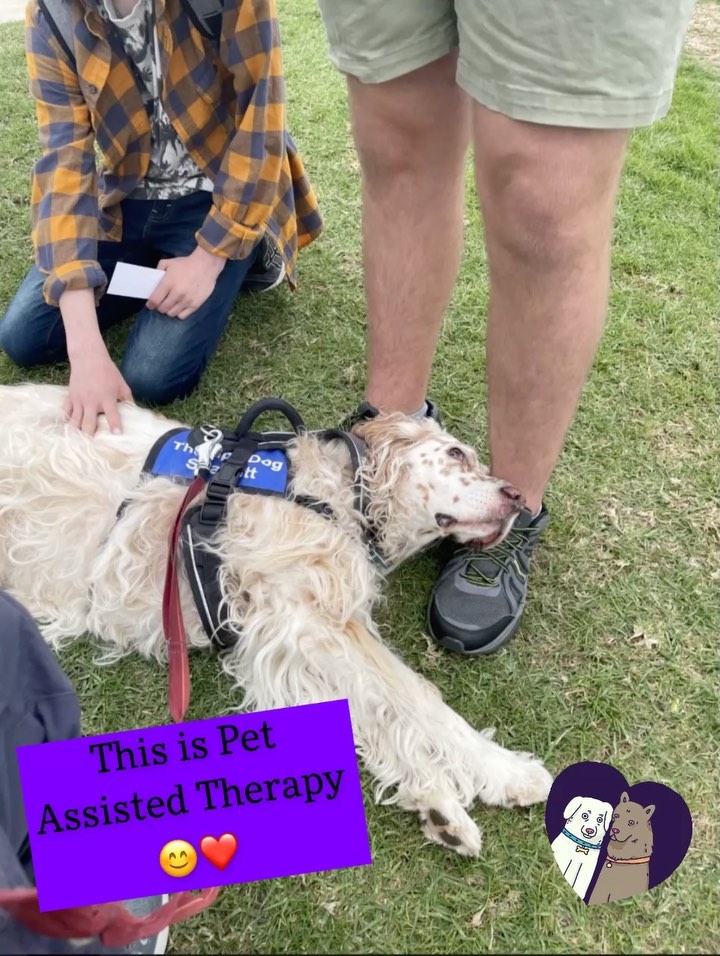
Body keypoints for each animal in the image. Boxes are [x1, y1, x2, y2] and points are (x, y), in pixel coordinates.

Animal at [0, 384, 552, 856]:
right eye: (456, 455)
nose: (516, 497)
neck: (337, 491)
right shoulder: (297, 623)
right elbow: (416, 697)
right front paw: (505, 774)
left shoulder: (294, 634)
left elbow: (380, 707)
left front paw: (436, 803)